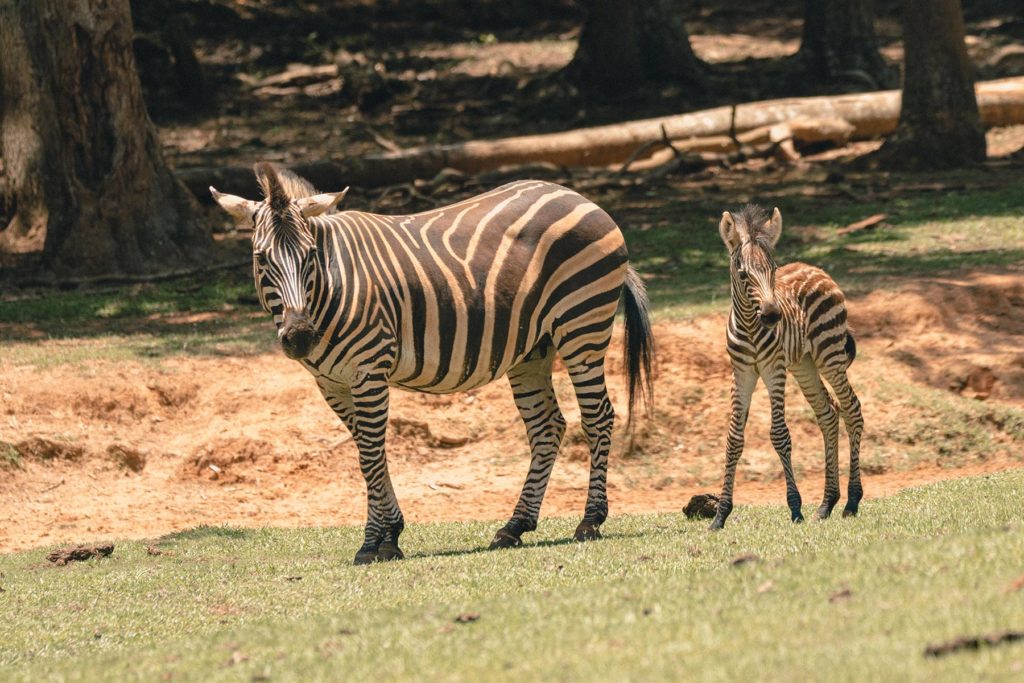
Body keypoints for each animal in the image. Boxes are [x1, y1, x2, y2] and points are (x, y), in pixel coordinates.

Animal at [214, 162, 655, 565]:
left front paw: (372, 543)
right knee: (548, 427)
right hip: (534, 349)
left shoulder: (370, 369)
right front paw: (391, 535)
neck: (331, 286)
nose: (300, 336)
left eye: (310, 257)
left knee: (598, 417)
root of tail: (579, 197)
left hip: (582, 325)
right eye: (261, 258)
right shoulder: (332, 383)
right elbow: (369, 452)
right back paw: (514, 527)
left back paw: (590, 521)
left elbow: (370, 455)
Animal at [712, 205, 864, 532]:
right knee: (828, 414)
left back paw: (852, 501)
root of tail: (817, 269)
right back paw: (826, 504)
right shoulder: (741, 372)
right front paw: (720, 514)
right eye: (743, 274)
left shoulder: (773, 368)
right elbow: (734, 437)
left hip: (829, 355)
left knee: (852, 410)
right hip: (804, 364)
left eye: (774, 269)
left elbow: (780, 434)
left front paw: (795, 508)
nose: (772, 315)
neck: (750, 325)